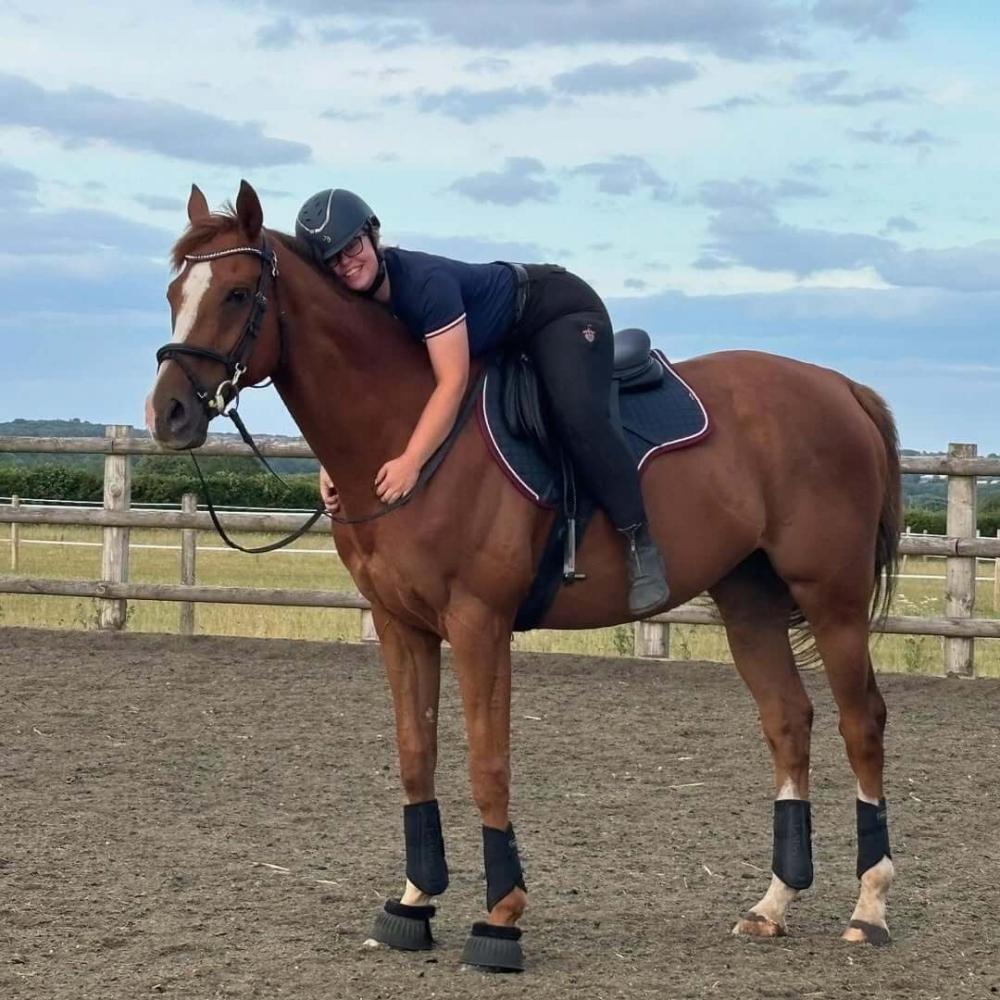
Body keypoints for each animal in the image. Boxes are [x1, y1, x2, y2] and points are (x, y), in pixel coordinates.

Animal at [147, 181, 901, 969]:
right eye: (173, 293)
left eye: (236, 293)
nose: (168, 412)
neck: (408, 432)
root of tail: (841, 388)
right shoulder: (401, 625)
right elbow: (416, 755)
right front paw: (414, 902)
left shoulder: (480, 623)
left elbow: (488, 763)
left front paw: (500, 917)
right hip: (748, 601)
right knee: (788, 721)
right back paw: (773, 903)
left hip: (832, 599)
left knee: (861, 723)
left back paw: (870, 906)